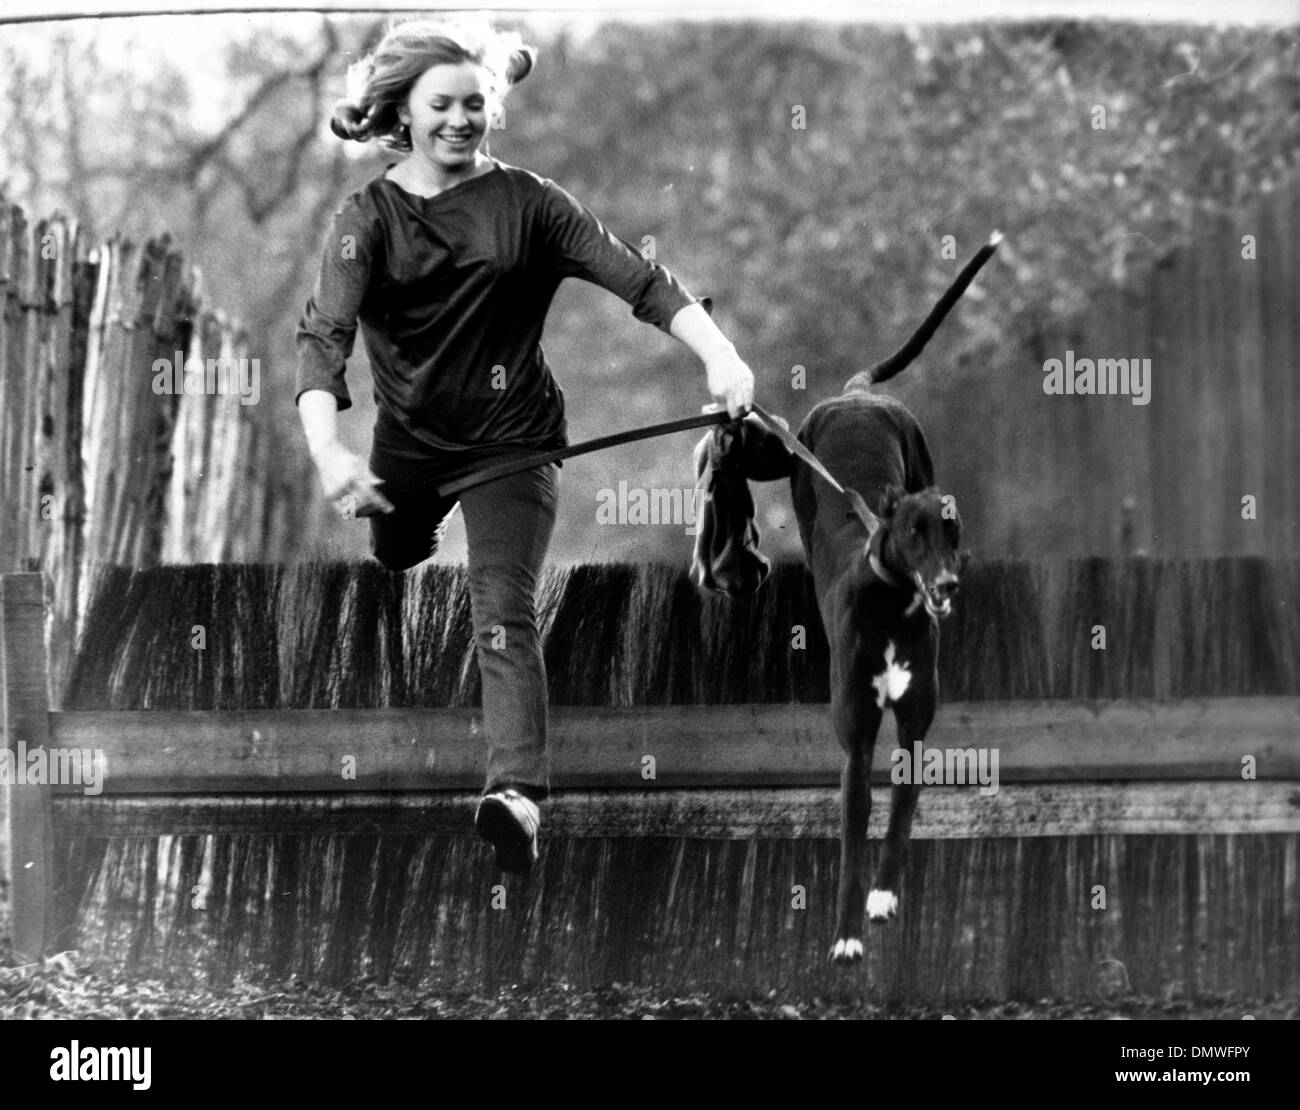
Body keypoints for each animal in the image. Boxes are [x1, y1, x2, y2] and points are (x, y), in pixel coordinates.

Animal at [696, 235, 998, 967]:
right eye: (913, 534)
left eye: (953, 531)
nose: (947, 587)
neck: (892, 606)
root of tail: (854, 394)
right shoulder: (856, 744)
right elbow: (853, 840)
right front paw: (846, 933)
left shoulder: (914, 724)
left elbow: (903, 813)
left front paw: (883, 898)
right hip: (791, 455)